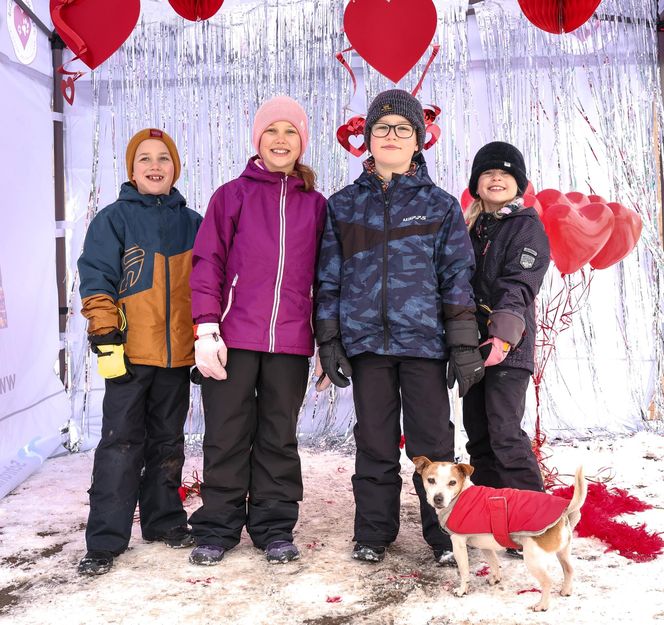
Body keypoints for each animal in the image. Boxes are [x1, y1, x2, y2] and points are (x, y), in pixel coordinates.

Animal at [416, 456, 588, 612]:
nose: (438, 498)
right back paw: (566, 590)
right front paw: (495, 578)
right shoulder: (485, 545)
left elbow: (464, 572)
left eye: (452, 483)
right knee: (569, 569)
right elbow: (493, 562)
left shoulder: (458, 544)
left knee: (547, 582)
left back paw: (542, 605)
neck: (459, 496)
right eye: (431, 480)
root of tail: (565, 511)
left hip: (533, 559)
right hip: (562, 552)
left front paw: (462, 590)